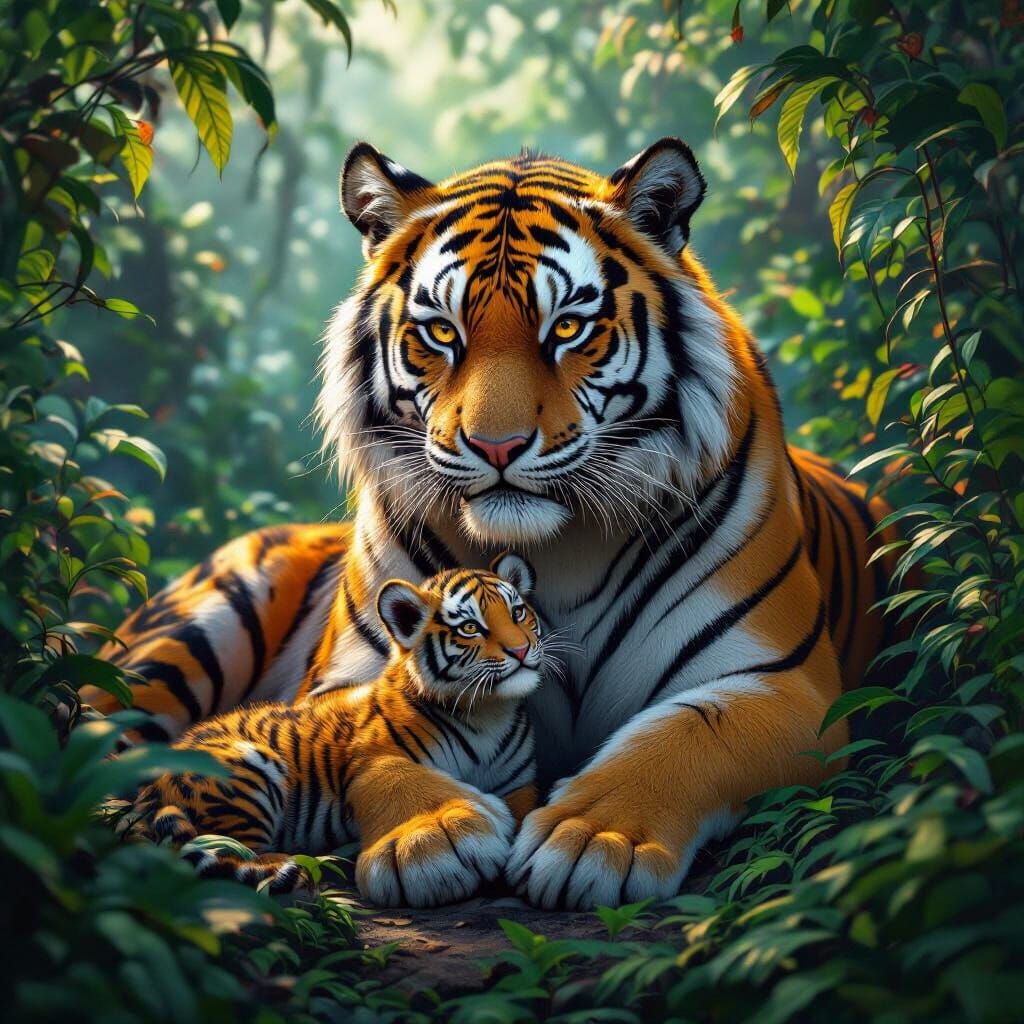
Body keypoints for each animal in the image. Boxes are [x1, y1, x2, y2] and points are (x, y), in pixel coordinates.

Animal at [129, 554, 543, 906]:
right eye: (471, 628)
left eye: (518, 612)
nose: (521, 650)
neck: (488, 714)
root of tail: (147, 789)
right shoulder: (371, 758)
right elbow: (410, 784)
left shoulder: (518, 783)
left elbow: (527, 808)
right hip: (245, 770)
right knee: (225, 846)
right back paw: (289, 871)